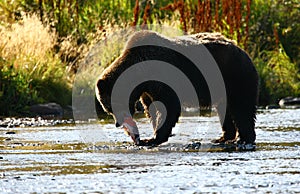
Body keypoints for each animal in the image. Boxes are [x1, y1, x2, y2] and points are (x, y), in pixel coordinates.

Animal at [95, 30, 258, 150]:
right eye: (108, 110)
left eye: (111, 106)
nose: (118, 123)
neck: (140, 72)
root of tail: (243, 51)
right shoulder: (148, 89)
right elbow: (152, 107)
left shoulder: (162, 76)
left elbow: (168, 106)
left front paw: (152, 138)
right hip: (221, 86)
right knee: (225, 108)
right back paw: (223, 138)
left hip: (234, 76)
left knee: (241, 107)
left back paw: (243, 139)